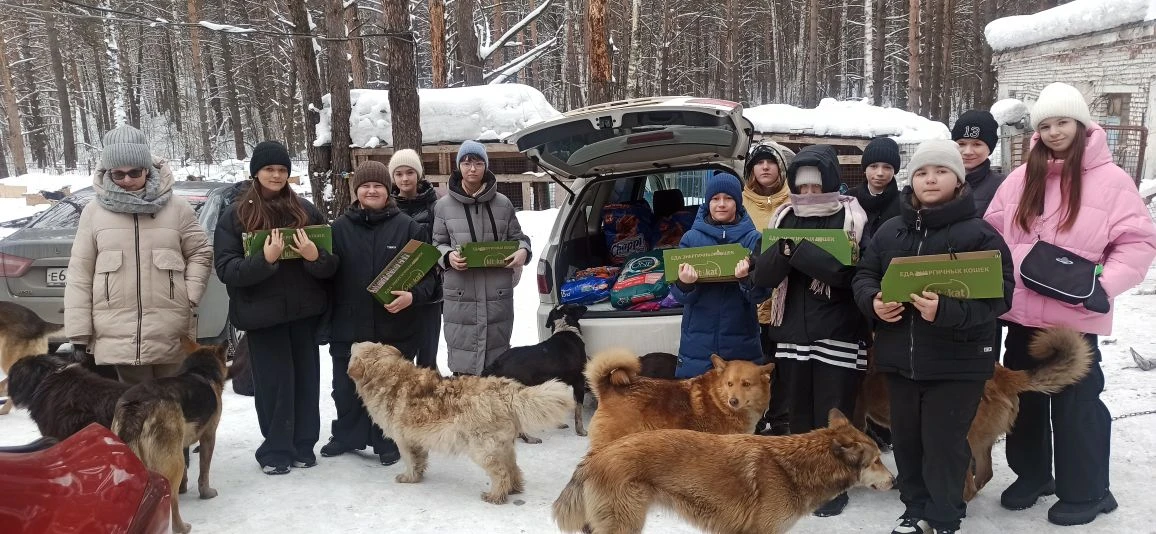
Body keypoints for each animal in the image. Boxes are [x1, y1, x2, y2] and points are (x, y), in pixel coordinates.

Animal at [111, 339, 228, 534]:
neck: (200, 371)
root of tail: (136, 408)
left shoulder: (181, 446)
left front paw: (184, 487)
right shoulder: (208, 437)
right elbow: (204, 471)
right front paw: (205, 493)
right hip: (175, 463)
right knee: (171, 500)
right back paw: (181, 527)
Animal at [348, 342, 575, 504]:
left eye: (356, 347)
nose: (352, 341)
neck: (389, 377)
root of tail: (505, 390)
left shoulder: (404, 441)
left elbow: (410, 462)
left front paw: (408, 478)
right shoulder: (416, 440)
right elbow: (420, 461)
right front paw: (418, 476)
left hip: (483, 449)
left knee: (501, 473)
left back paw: (495, 496)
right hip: (503, 446)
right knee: (513, 469)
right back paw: (513, 489)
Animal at [482, 303, 588, 442]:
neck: (565, 328)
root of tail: (496, 363)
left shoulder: (559, 383)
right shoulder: (579, 382)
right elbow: (578, 410)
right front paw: (581, 431)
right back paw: (528, 438)